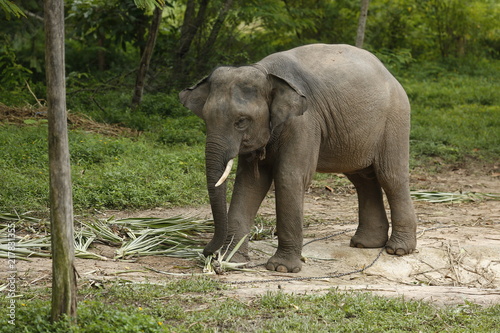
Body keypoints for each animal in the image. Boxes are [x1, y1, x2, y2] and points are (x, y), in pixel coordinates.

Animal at [180, 43, 418, 272]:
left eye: (241, 121)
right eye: (206, 119)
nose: (207, 254)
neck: (264, 71)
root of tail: (389, 73)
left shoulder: (304, 122)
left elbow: (289, 177)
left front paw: (281, 268)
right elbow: (249, 183)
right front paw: (233, 260)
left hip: (395, 119)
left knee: (390, 176)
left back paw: (397, 249)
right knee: (362, 179)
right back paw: (365, 244)